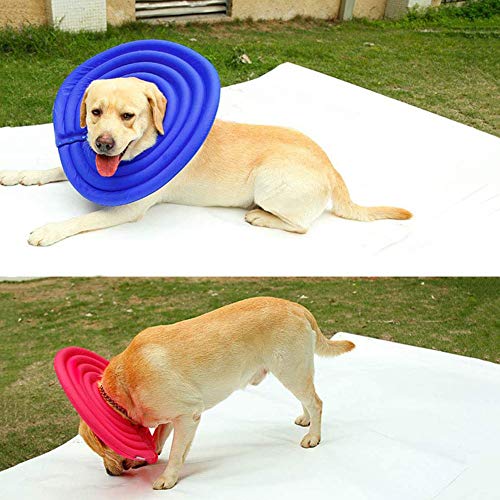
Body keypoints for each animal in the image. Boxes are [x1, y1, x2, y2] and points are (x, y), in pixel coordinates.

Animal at [0, 77, 412, 247]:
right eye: (95, 112)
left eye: (129, 116)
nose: (102, 144)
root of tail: (331, 166)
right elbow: (55, 169)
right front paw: (21, 174)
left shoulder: (128, 210)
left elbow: (81, 220)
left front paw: (49, 230)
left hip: (269, 181)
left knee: (301, 226)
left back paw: (261, 216)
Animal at [78, 296, 356, 488]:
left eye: (102, 448)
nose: (108, 473)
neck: (125, 385)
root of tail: (297, 307)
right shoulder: (171, 415)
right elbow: (158, 438)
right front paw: (148, 456)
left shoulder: (188, 415)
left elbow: (176, 452)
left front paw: (168, 477)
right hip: (294, 371)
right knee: (307, 399)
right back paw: (306, 421)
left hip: (291, 370)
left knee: (316, 402)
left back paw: (314, 436)